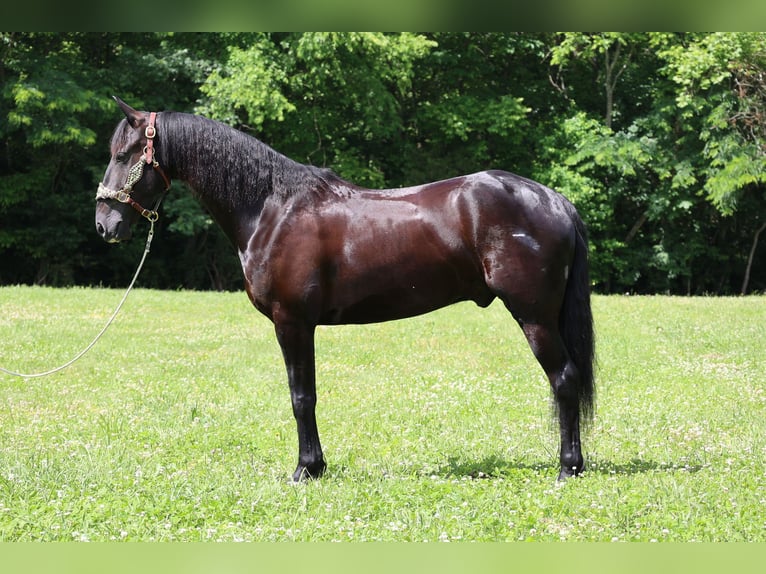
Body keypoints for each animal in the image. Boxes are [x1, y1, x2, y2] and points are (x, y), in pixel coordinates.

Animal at [95, 97, 595, 482]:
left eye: (124, 154)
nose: (105, 225)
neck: (272, 208)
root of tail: (554, 199)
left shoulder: (292, 322)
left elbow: (302, 397)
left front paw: (306, 469)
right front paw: (315, 466)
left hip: (533, 316)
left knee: (564, 379)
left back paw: (568, 467)